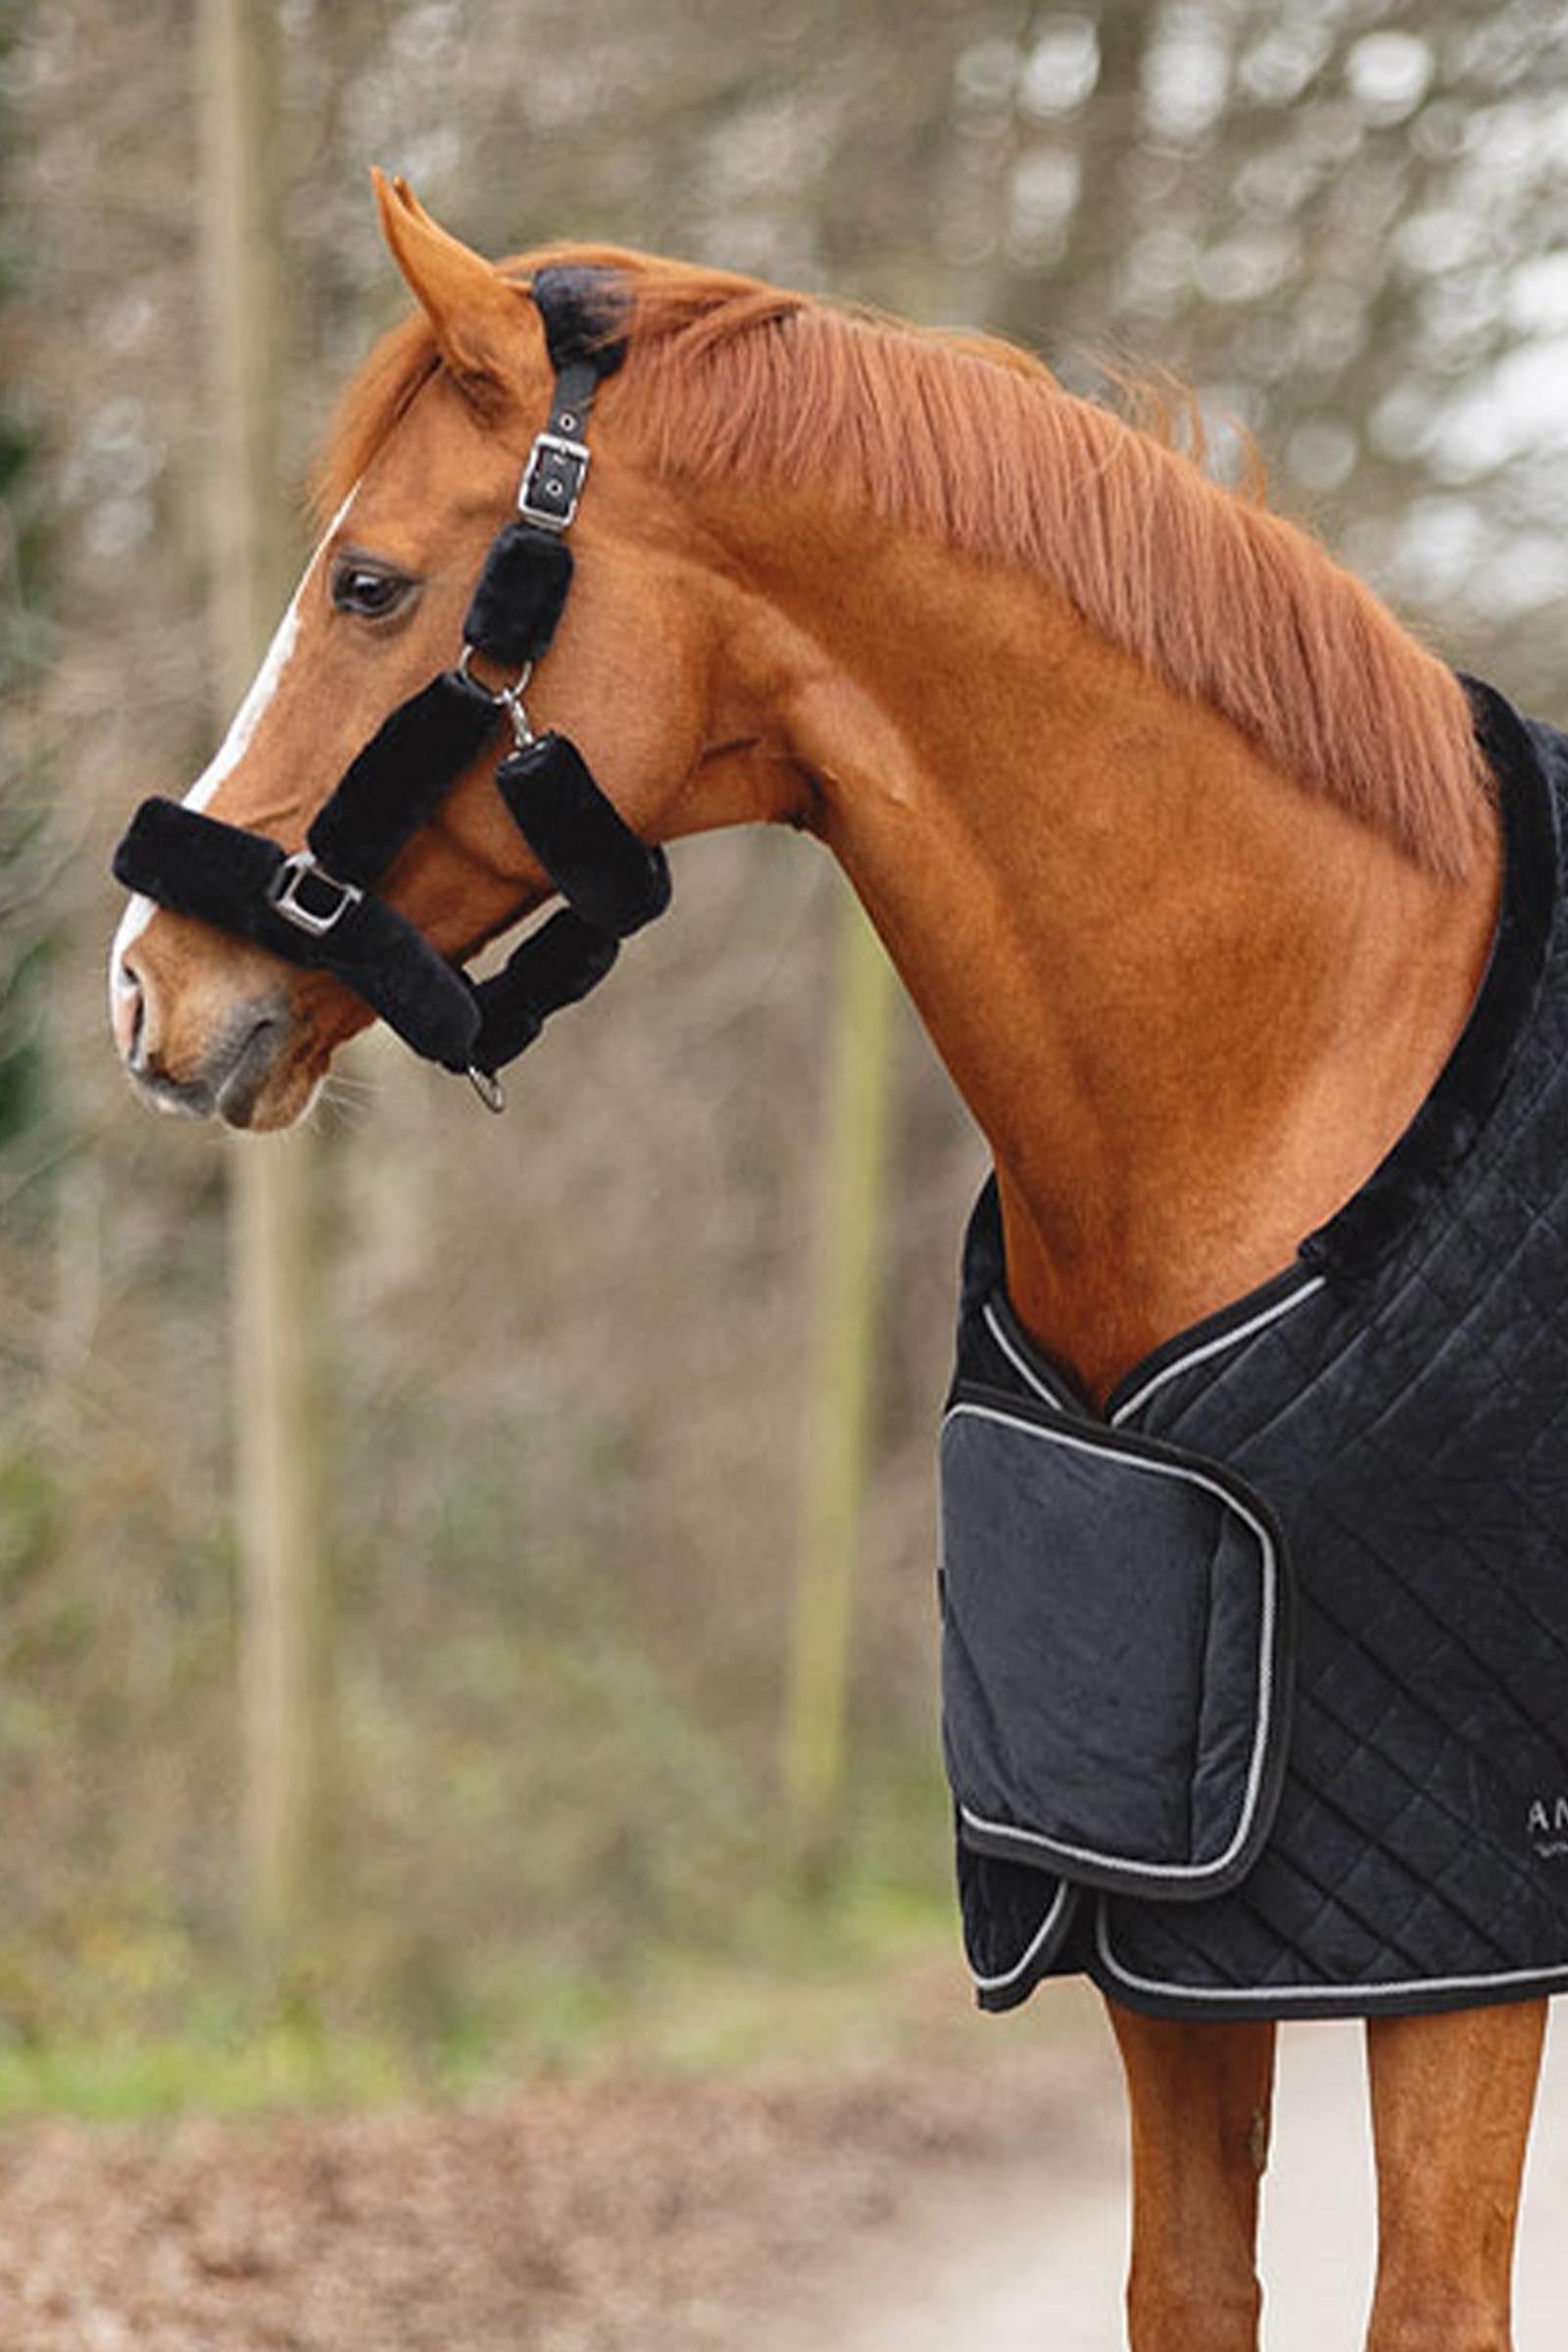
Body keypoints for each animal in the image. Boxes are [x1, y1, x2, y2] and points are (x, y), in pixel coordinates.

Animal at [108, 175, 1557, 2351]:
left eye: (367, 584)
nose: (150, 988)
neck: (1302, 1058)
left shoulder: (1448, 1954)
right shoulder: (1166, 1927)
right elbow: (1185, 2279)